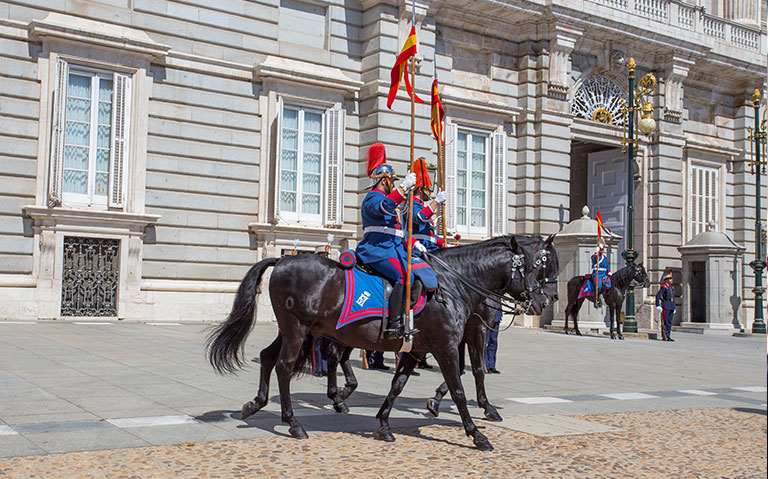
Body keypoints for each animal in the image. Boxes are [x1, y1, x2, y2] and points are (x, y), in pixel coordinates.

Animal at [210, 234, 560, 452]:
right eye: (541, 266)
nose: (545, 301)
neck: (454, 283)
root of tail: (282, 261)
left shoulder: (416, 349)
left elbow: (398, 385)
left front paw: (383, 424)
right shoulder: (448, 345)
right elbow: (461, 388)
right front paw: (476, 433)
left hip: (293, 329)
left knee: (270, 357)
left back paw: (256, 404)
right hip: (298, 329)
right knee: (285, 366)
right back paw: (295, 422)